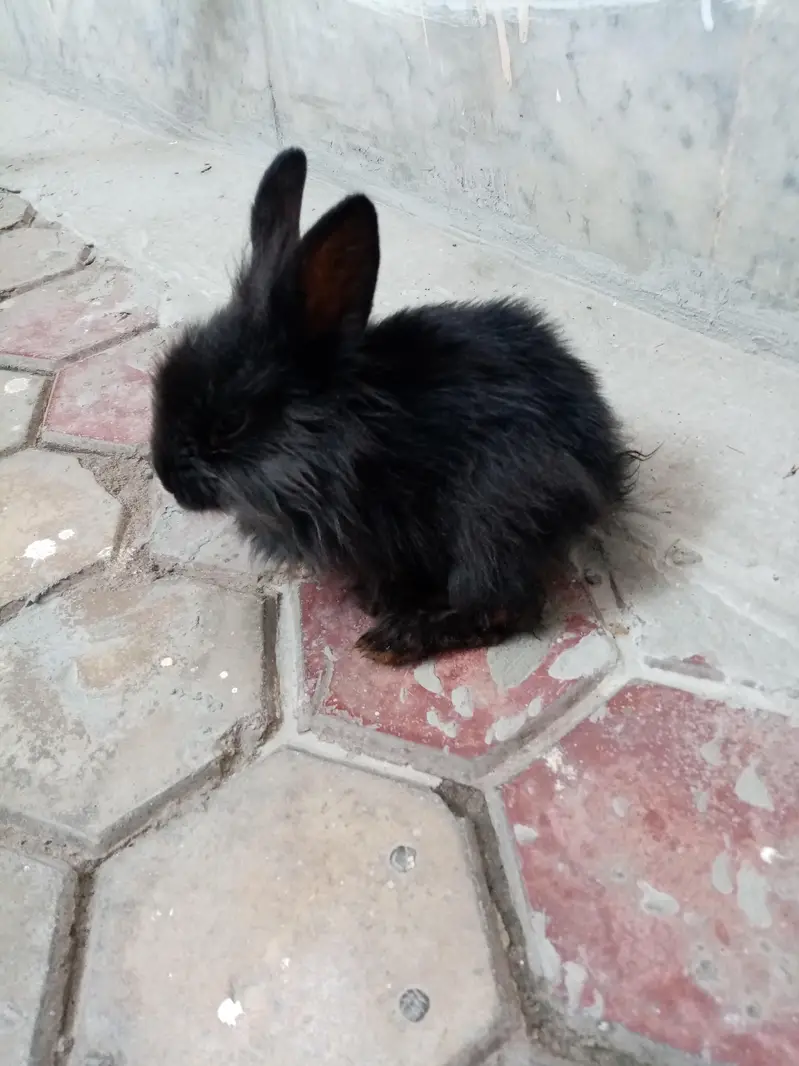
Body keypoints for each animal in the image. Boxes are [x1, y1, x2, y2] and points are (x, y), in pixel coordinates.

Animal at [151, 147, 638, 666]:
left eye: (231, 423)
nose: (167, 479)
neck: (330, 432)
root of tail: (602, 463)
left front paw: (378, 603)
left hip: (492, 513)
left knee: (502, 605)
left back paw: (392, 640)